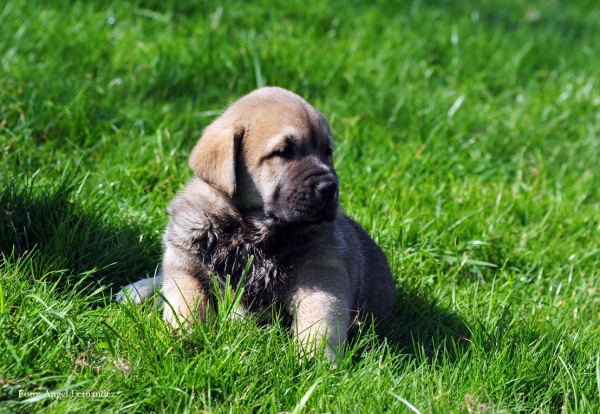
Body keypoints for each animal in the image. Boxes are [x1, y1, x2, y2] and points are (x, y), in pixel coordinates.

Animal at [118, 87, 396, 360]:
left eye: (327, 152)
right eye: (283, 152)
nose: (330, 188)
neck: (249, 232)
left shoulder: (321, 274)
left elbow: (319, 321)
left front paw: (313, 361)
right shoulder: (185, 261)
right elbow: (188, 301)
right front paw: (185, 338)